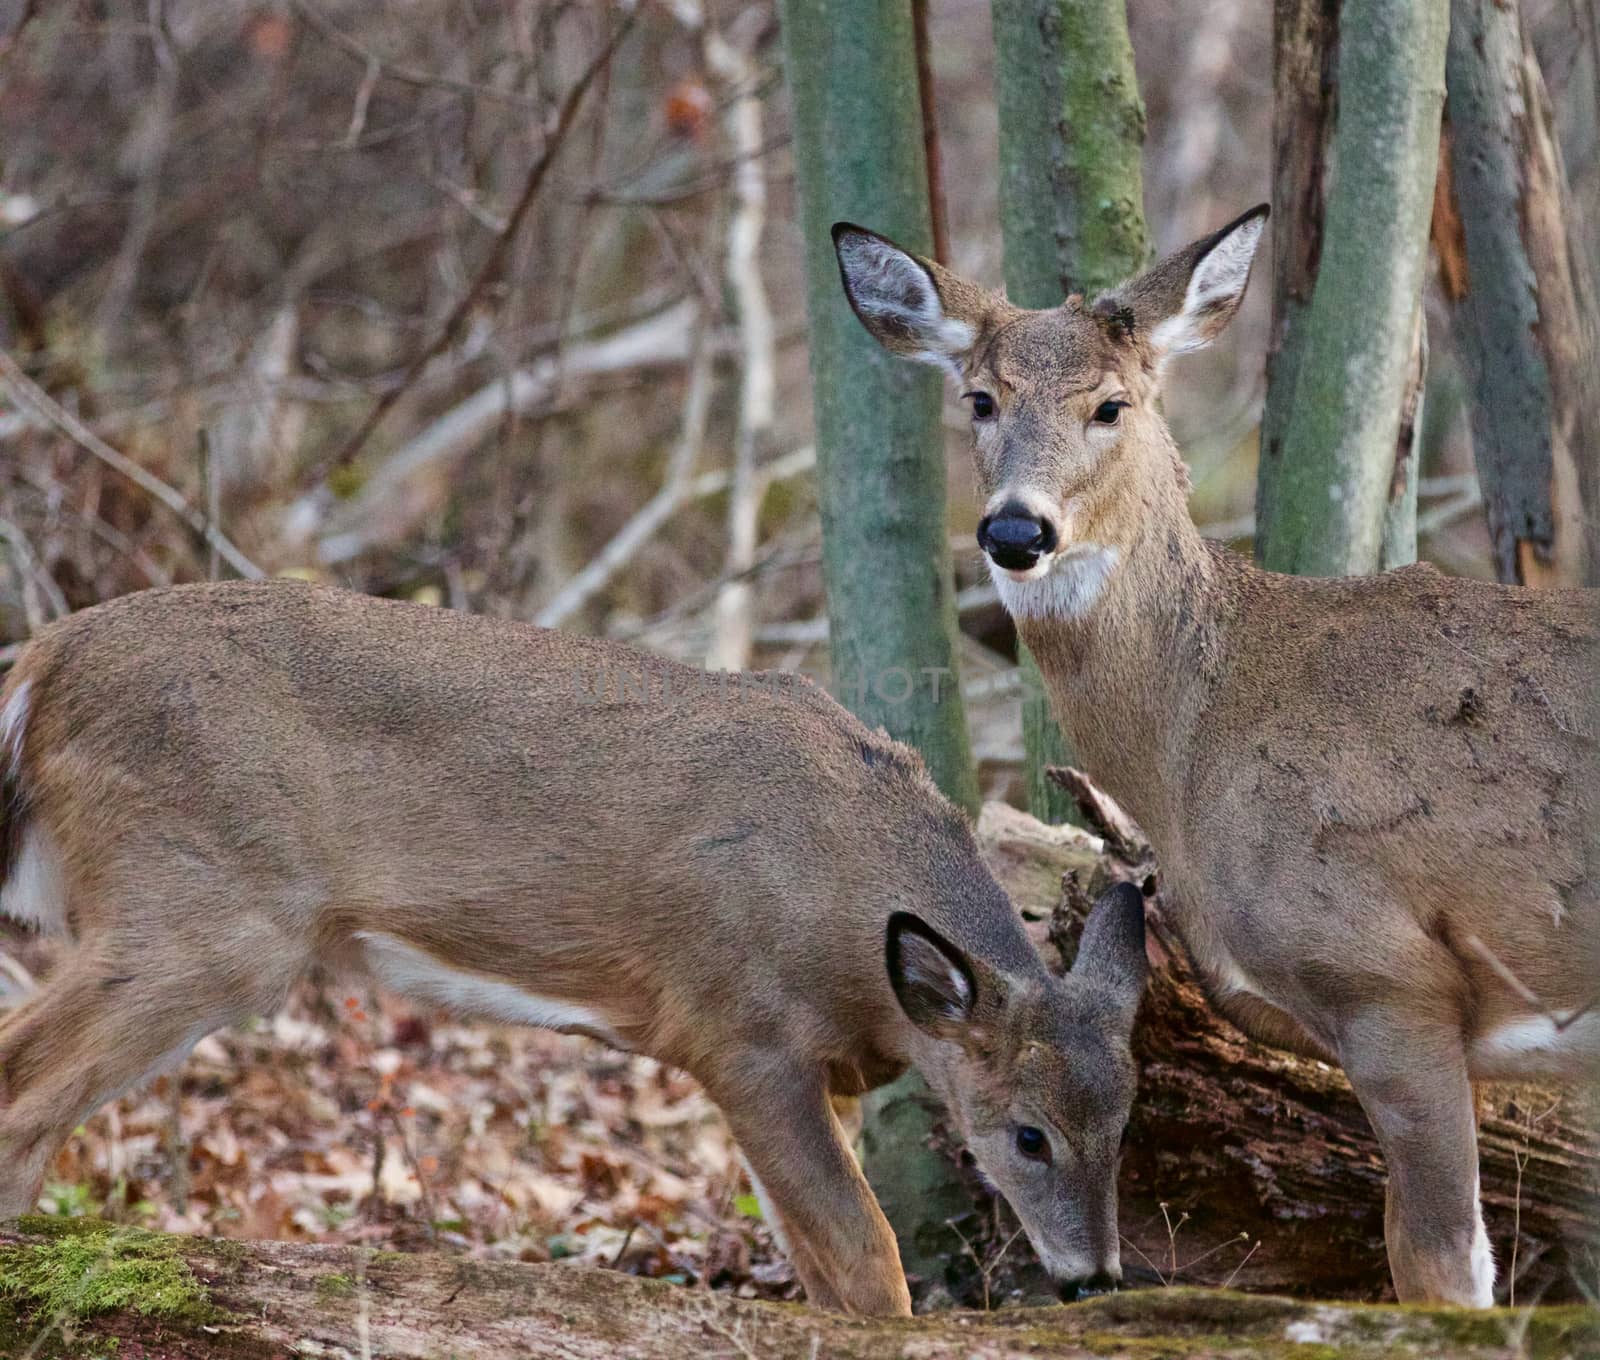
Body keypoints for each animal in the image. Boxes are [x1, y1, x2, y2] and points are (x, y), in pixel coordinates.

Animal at [0, 579, 1152, 1312]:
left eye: (1126, 1123)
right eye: (1027, 1136)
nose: (1096, 1276)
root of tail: (39, 663)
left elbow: (821, 1268)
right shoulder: (740, 1035)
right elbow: (870, 1264)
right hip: (203, 906)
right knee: (26, 1088)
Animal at [838, 209, 1600, 1305]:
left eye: (1111, 404)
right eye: (979, 399)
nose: (1016, 528)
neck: (1194, 745)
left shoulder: (1389, 975)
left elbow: (1440, 1267)